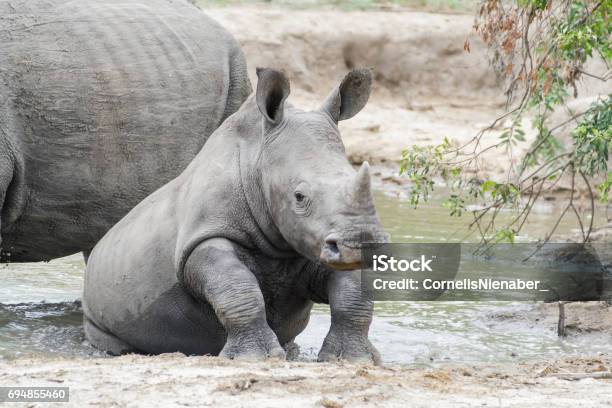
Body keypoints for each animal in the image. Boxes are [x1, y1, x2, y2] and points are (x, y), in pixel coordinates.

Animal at [82, 67, 388, 364]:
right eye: (299, 197)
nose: (362, 243)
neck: (258, 159)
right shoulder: (204, 237)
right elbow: (238, 289)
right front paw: (256, 358)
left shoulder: (316, 238)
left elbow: (352, 294)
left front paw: (352, 359)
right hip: (97, 305)